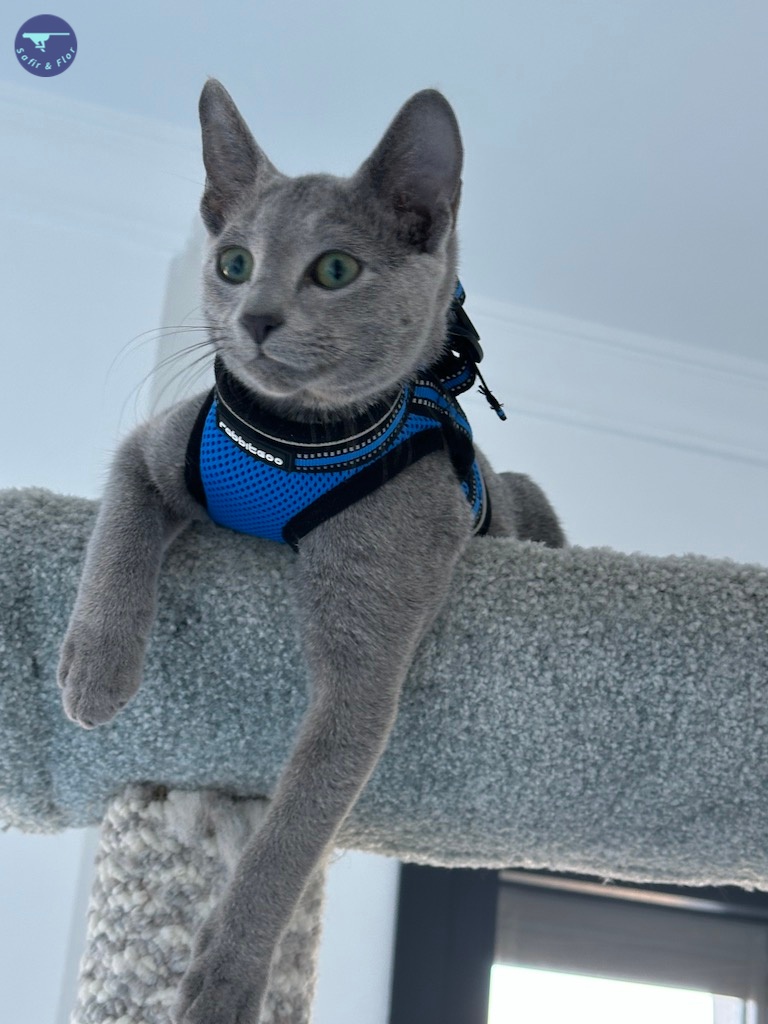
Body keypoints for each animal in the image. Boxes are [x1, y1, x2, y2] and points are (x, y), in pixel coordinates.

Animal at [58, 79, 564, 1024]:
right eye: (232, 264)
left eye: (334, 270)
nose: (254, 316)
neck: (291, 443)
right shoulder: (154, 450)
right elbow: (119, 533)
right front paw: (97, 671)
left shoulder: (364, 667)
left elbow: (290, 833)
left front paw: (224, 978)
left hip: (524, 501)